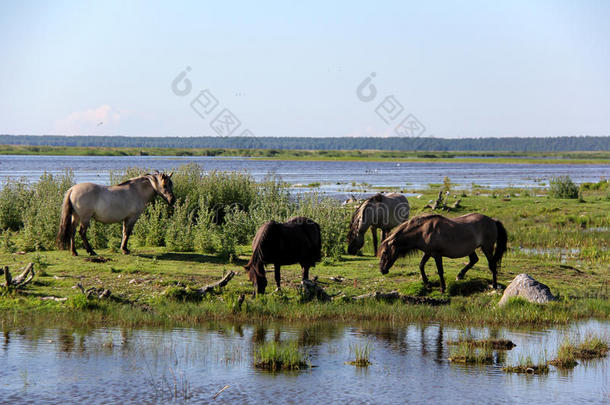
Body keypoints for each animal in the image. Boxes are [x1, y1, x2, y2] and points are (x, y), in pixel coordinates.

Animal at [378, 213, 506, 292]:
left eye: (385, 253)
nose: (382, 270)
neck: (423, 231)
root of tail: (492, 220)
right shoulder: (428, 253)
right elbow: (421, 265)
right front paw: (427, 284)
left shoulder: (436, 255)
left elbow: (440, 271)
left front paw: (443, 288)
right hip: (471, 249)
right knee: (474, 260)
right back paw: (460, 275)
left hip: (487, 247)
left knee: (492, 265)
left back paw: (494, 285)